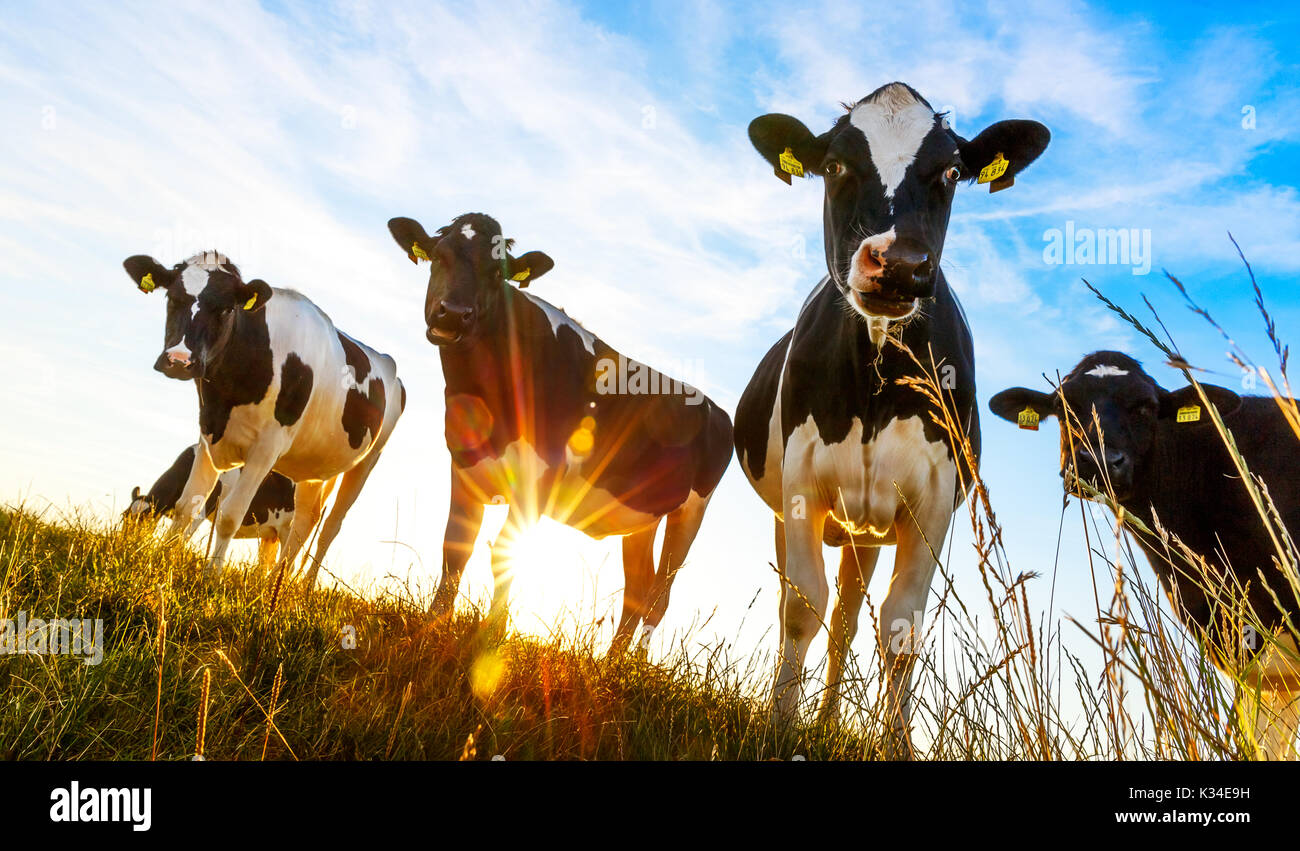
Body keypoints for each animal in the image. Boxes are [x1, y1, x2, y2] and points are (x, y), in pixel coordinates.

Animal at [125, 446, 296, 566]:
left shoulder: (202, 507)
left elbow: (184, 537)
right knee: (265, 564)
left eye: (143, 519)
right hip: (271, 535)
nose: (126, 542)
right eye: (124, 518)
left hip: (288, 531)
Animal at [384, 214, 733, 652]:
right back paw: (610, 662)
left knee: (659, 595)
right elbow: (455, 547)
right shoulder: (463, 466)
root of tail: (715, 407)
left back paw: (631, 664)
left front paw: (491, 638)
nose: (452, 314)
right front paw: (431, 627)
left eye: (496, 274)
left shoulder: (539, 477)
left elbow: (506, 552)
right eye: (438, 257)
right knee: (638, 589)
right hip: (642, 517)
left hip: (691, 511)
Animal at [738, 81, 1050, 753]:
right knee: (807, 606)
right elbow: (801, 608)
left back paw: (828, 722)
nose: (898, 263)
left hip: (867, 532)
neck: (878, 382)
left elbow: (900, 626)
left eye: (953, 172)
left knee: (847, 621)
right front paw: (779, 726)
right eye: (834, 166)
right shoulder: (801, 486)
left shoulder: (932, 505)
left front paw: (895, 743)